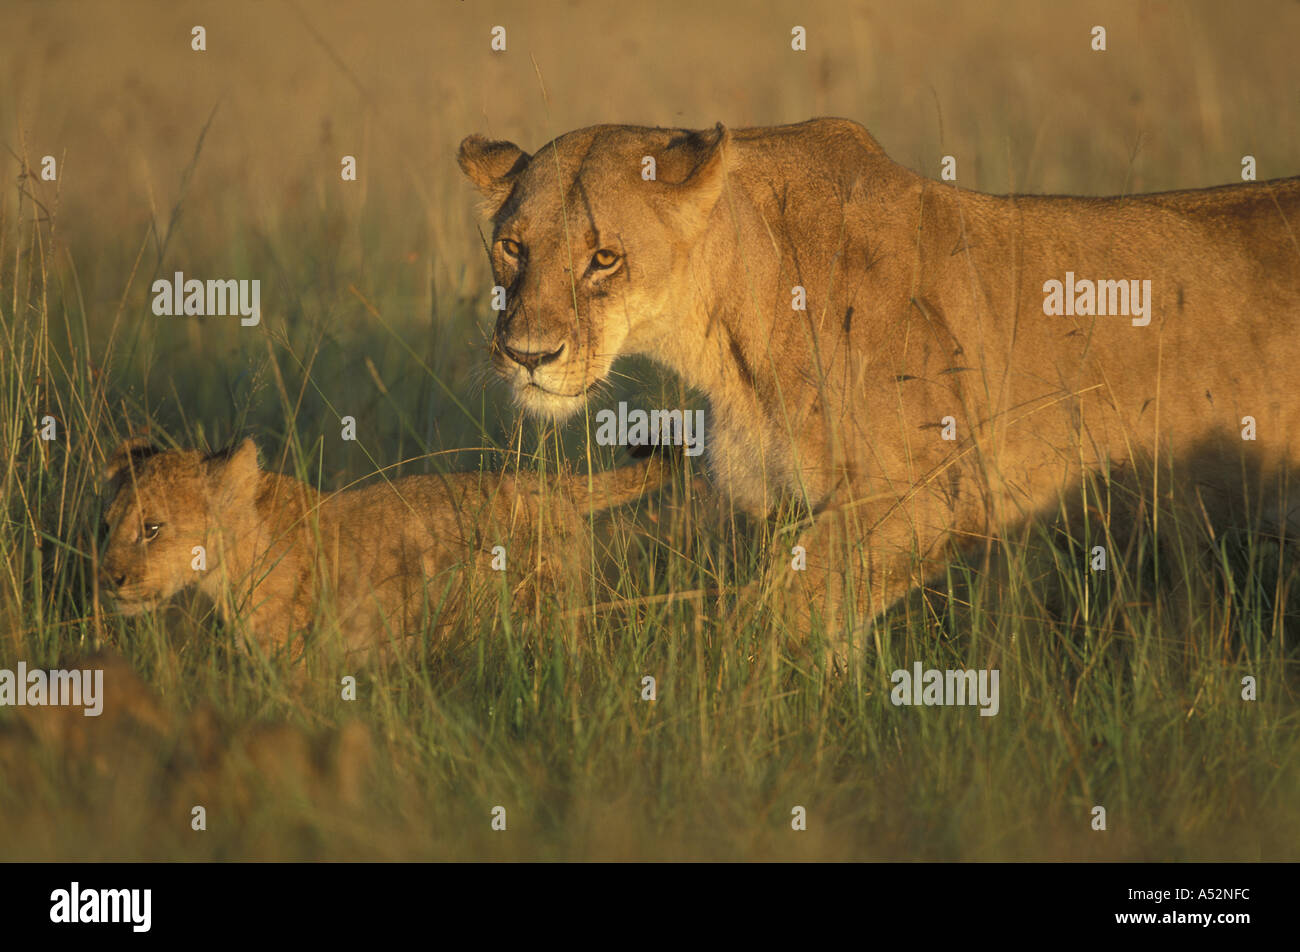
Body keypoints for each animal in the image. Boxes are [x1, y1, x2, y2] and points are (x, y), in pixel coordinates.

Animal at [458, 117, 1300, 639]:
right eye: (511, 247)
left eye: (605, 257)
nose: (527, 354)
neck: (726, 333)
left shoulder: (930, 492)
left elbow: (770, 617)